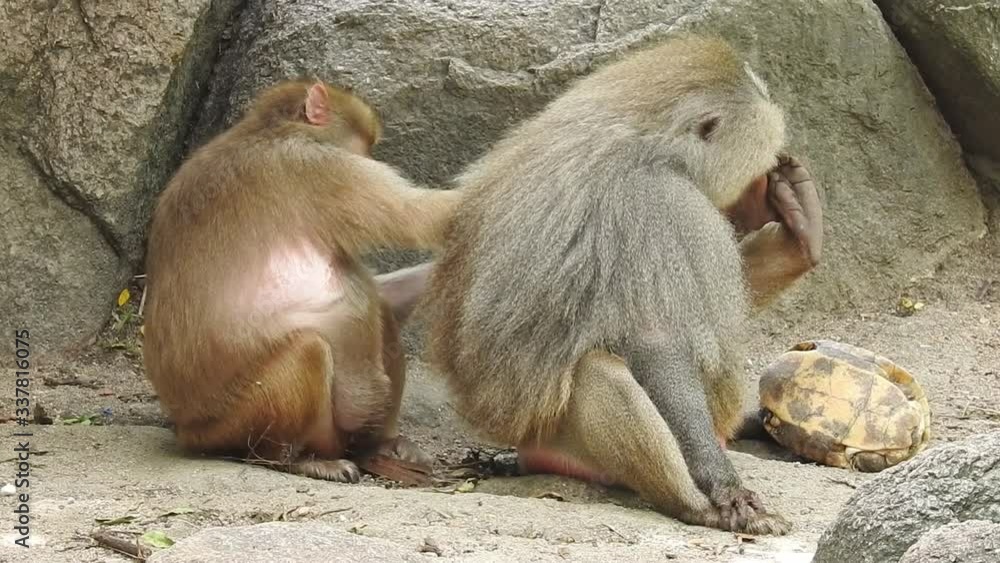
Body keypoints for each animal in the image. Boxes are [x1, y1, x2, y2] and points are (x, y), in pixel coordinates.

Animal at [143, 79, 460, 482]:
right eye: (365, 147)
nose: (372, 160)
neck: (269, 129)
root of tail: (186, 430)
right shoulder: (321, 168)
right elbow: (418, 217)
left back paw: (379, 446)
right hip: (234, 423)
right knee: (310, 350)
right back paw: (296, 459)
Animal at [423, 36, 822, 535]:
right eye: (757, 170)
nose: (764, 192)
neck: (646, 137)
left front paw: (798, 237)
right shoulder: (659, 204)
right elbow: (656, 342)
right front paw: (725, 487)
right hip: (559, 435)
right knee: (600, 373)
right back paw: (692, 505)